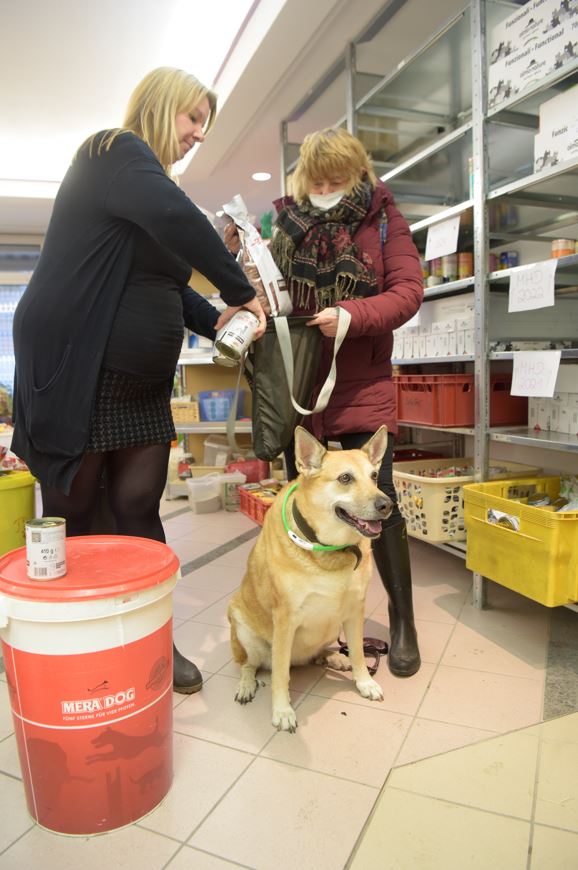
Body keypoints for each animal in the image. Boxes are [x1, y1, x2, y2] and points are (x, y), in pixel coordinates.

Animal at [227, 426, 390, 732]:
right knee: (250, 664)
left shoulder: (355, 610)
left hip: (331, 628)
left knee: (321, 654)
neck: (331, 553)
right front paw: (282, 711)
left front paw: (364, 681)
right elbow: (280, 675)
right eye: (345, 478)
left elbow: (359, 653)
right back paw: (246, 684)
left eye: (374, 476)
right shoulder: (285, 619)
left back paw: (335, 658)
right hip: (244, 631)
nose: (387, 504)